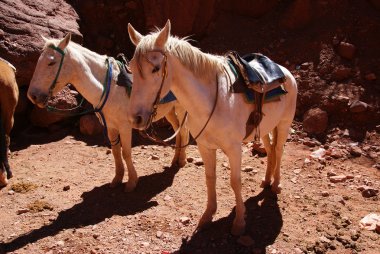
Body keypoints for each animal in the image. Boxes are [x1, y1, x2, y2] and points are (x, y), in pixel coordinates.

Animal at [28, 33, 190, 192]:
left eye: (51, 63)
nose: (32, 96)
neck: (111, 88)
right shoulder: (111, 127)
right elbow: (116, 152)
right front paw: (117, 179)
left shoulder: (125, 127)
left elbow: (126, 153)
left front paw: (131, 182)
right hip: (169, 111)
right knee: (177, 130)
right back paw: (175, 159)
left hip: (181, 108)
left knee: (183, 131)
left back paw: (181, 160)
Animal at [127, 20, 296, 235]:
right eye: (131, 68)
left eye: (156, 69)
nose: (135, 118)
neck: (214, 100)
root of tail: (285, 72)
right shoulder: (205, 147)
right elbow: (210, 178)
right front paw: (207, 216)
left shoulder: (234, 149)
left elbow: (235, 182)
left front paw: (239, 222)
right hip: (265, 128)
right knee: (271, 150)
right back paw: (266, 181)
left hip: (283, 125)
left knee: (279, 151)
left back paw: (276, 185)